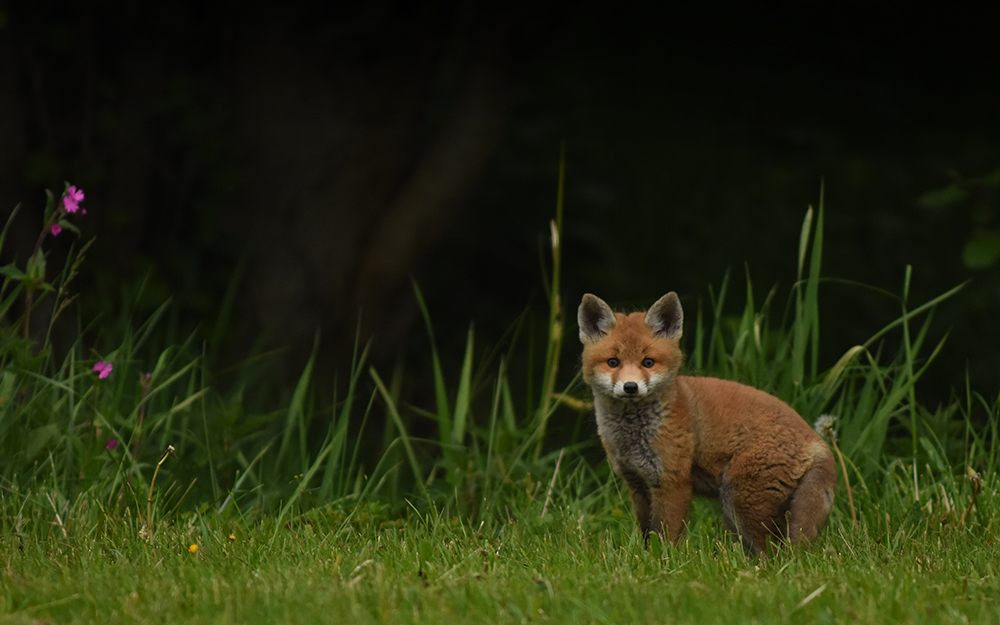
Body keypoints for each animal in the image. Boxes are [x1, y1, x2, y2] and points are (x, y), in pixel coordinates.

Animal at [580, 290, 836, 552]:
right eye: (613, 362)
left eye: (648, 362)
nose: (630, 387)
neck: (632, 436)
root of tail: (819, 443)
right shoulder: (638, 485)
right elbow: (646, 534)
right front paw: (645, 557)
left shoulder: (674, 482)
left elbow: (665, 537)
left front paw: (663, 559)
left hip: (740, 500)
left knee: (773, 552)